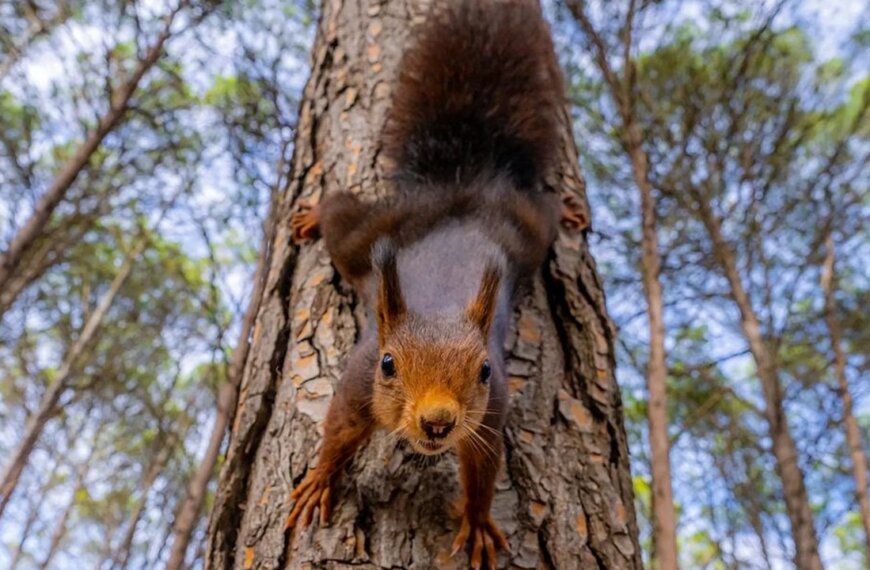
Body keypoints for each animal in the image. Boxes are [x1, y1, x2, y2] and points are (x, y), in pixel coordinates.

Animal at [284, 2, 572, 564]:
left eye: (484, 370)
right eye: (388, 364)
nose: (438, 422)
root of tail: (458, 186)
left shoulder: (489, 414)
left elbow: (483, 471)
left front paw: (477, 521)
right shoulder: (357, 382)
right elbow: (338, 432)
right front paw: (320, 479)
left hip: (528, 232)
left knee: (546, 211)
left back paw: (568, 208)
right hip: (366, 239)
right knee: (341, 216)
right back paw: (314, 215)